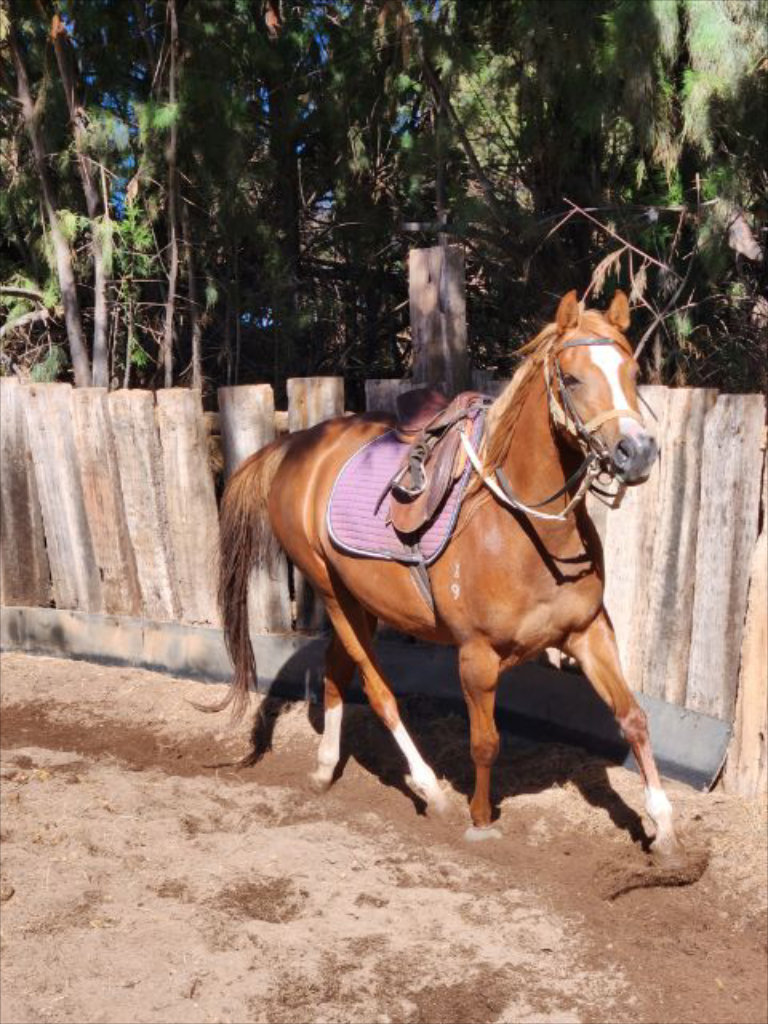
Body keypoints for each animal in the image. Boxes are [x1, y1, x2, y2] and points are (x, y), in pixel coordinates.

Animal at [214, 289, 683, 863]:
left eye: (633, 373)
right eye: (572, 379)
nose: (637, 452)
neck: (524, 529)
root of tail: (297, 443)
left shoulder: (589, 632)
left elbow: (634, 718)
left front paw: (663, 827)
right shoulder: (476, 654)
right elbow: (485, 742)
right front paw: (479, 821)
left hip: (359, 601)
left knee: (335, 674)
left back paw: (326, 769)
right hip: (331, 592)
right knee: (379, 692)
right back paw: (429, 789)